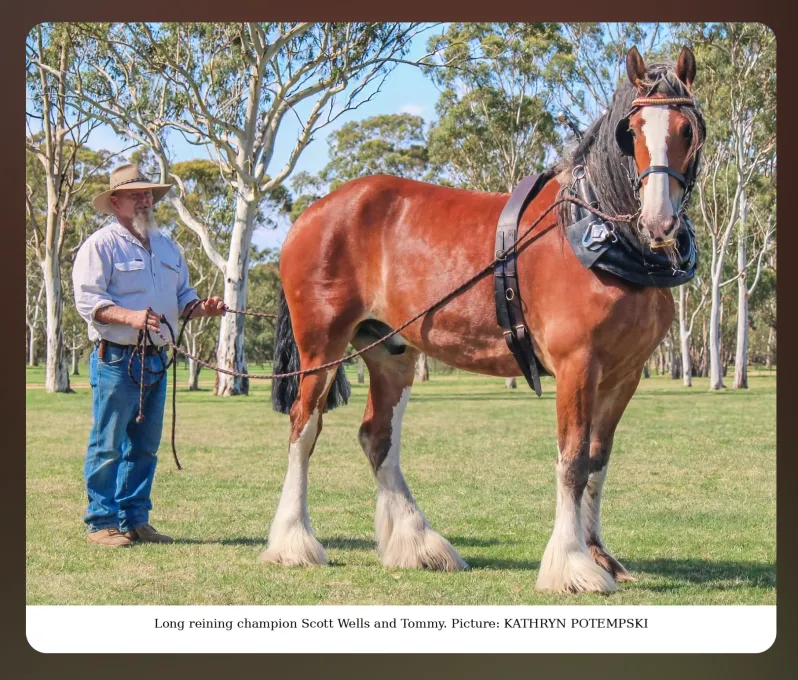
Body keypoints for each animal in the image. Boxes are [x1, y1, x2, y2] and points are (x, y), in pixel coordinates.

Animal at [261, 46, 705, 594]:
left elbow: (598, 461)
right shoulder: (577, 365)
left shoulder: (625, 374)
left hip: (390, 350)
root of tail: (313, 211)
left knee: (376, 437)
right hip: (321, 347)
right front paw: (572, 563)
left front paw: (600, 554)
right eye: (633, 130)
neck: (597, 234)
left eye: (686, 129)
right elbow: (573, 460)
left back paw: (419, 543)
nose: (659, 222)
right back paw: (294, 542)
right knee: (304, 429)